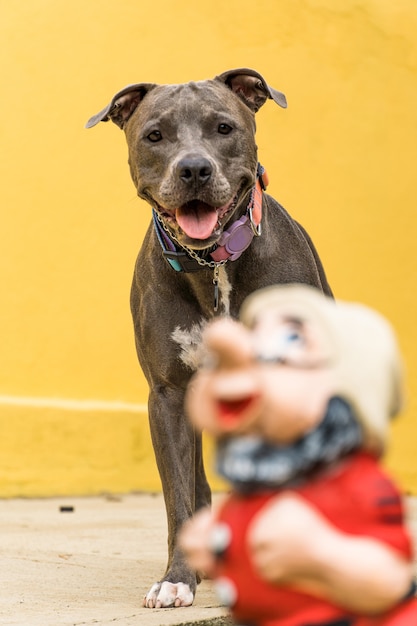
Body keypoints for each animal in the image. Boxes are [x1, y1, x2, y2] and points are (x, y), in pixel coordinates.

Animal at [86, 67, 334, 604]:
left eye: (224, 128)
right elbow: (179, 497)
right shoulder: (169, 396)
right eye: (155, 135)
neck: (212, 263)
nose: (194, 169)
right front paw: (177, 580)